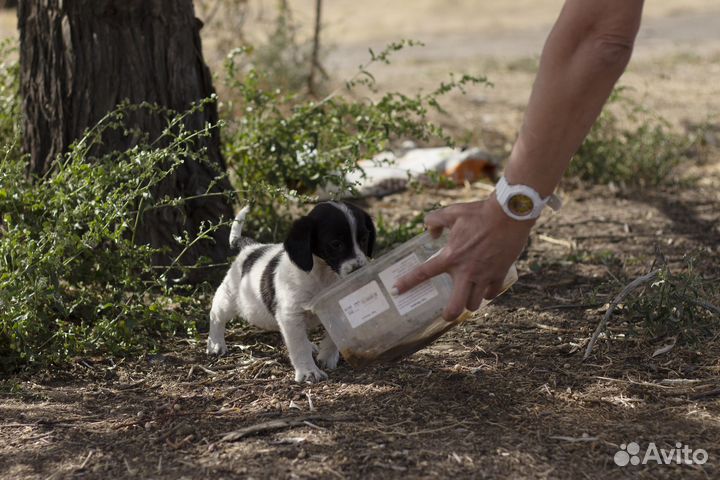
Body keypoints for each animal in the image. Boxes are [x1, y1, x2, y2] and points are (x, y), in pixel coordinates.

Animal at [207, 202, 376, 382]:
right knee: (216, 315)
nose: (360, 270)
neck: (323, 274)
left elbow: (333, 336)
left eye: (364, 239)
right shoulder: (291, 314)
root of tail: (250, 247)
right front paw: (309, 372)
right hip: (228, 298)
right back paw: (215, 344)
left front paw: (327, 356)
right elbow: (299, 346)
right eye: (336, 244)